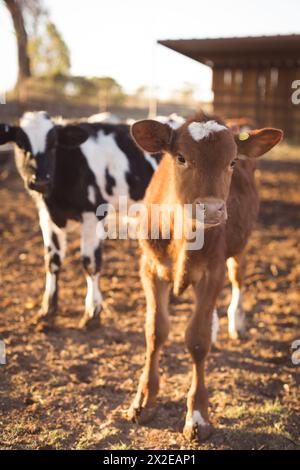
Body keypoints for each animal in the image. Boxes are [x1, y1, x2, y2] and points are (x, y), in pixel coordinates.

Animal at [0, 112, 159, 328]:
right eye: (21, 144)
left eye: (53, 144)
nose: (40, 181)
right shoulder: (46, 218)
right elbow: (52, 261)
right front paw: (47, 310)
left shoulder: (93, 215)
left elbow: (90, 263)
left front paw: (92, 312)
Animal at [127, 113, 282, 440]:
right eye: (181, 158)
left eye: (232, 161)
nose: (210, 208)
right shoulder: (149, 267)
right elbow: (155, 331)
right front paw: (144, 400)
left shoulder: (213, 272)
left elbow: (197, 340)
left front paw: (197, 415)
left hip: (240, 247)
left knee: (237, 279)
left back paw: (236, 322)